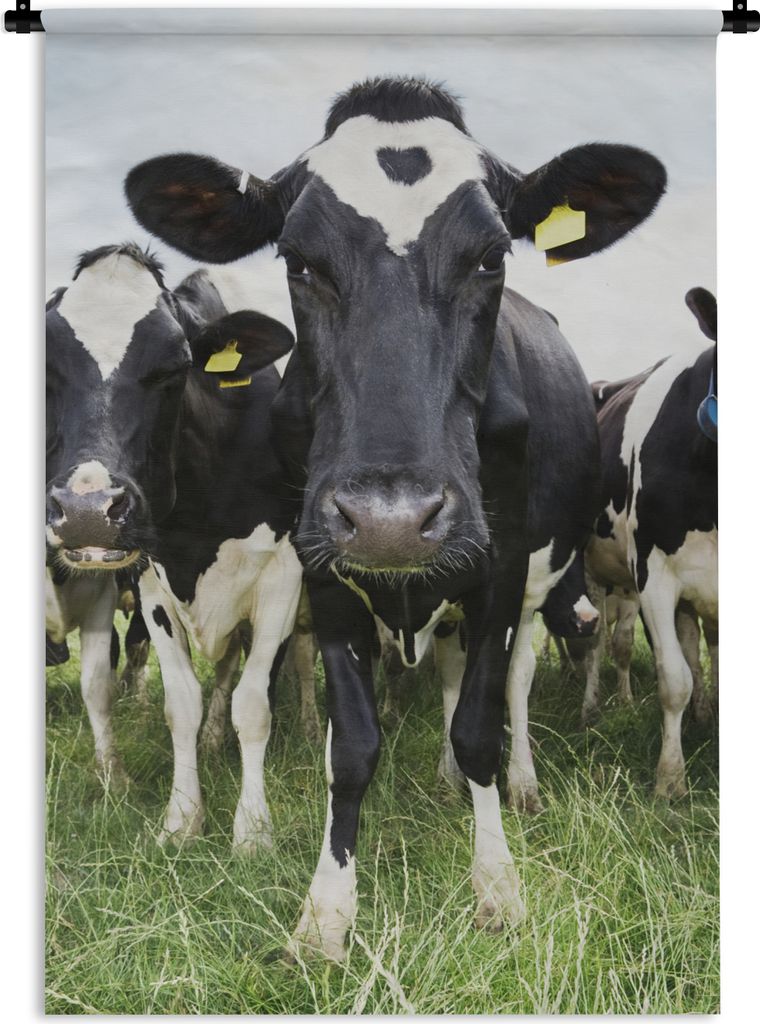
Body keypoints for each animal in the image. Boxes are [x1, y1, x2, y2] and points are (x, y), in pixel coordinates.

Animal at [46, 243, 312, 845]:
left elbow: (254, 704)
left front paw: (252, 831)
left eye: (173, 367)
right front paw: (182, 819)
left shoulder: (283, 579)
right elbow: (182, 704)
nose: (87, 514)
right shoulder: (152, 584)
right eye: (47, 368)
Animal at [125, 76, 666, 960]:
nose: (391, 520)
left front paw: (498, 886)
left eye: (491, 256)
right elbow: (352, 745)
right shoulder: (322, 569)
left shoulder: (499, 567)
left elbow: (479, 725)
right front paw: (326, 913)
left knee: (511, 684)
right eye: (299, 261)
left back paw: (515, 785)